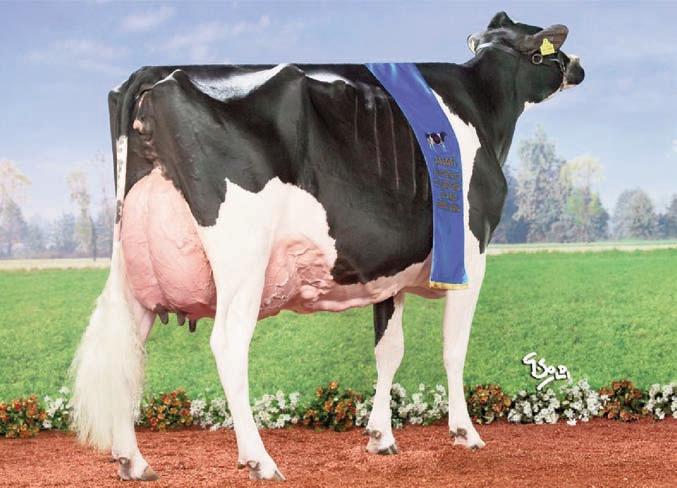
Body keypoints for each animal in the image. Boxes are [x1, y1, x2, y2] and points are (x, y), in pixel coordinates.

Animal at [70, 11, 584, 482]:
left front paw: (381, 437)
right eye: (549, 50)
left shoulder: (388, 275)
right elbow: (453, 347)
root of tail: (154, 72)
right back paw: (259, 459)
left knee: (127, 349)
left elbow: (389, 350)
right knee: (229, 345)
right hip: (242, 257)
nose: (578, 67)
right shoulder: (471, 254)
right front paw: (465, 432)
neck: (482, 106)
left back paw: (133, 461)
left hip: (133, 268)